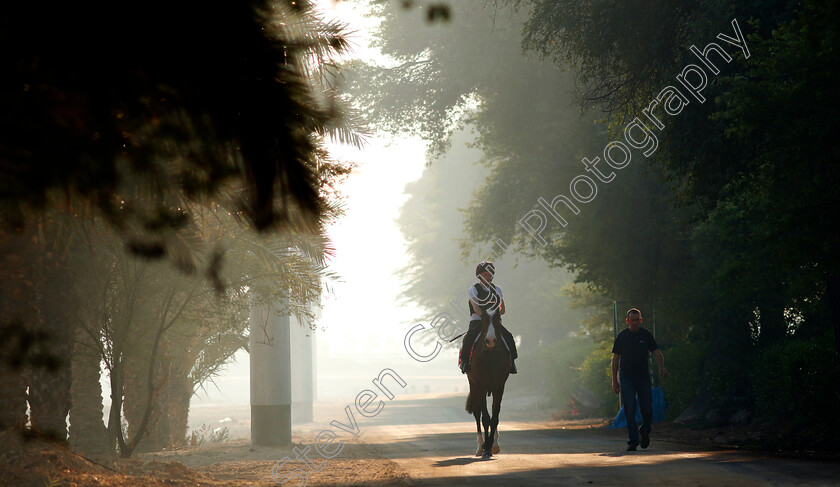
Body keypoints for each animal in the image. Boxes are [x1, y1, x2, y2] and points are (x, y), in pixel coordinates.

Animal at [462, 310, 508, 460]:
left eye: (498, 319)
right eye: (483, 320)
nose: (491, 340)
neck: (490, 356)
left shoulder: (499, 386)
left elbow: (495, 417)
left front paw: (493, 446)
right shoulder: (480, 385)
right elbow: (486, 418)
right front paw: (486, 448)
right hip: (473, 385)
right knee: (477, 413)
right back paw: (479, 447)